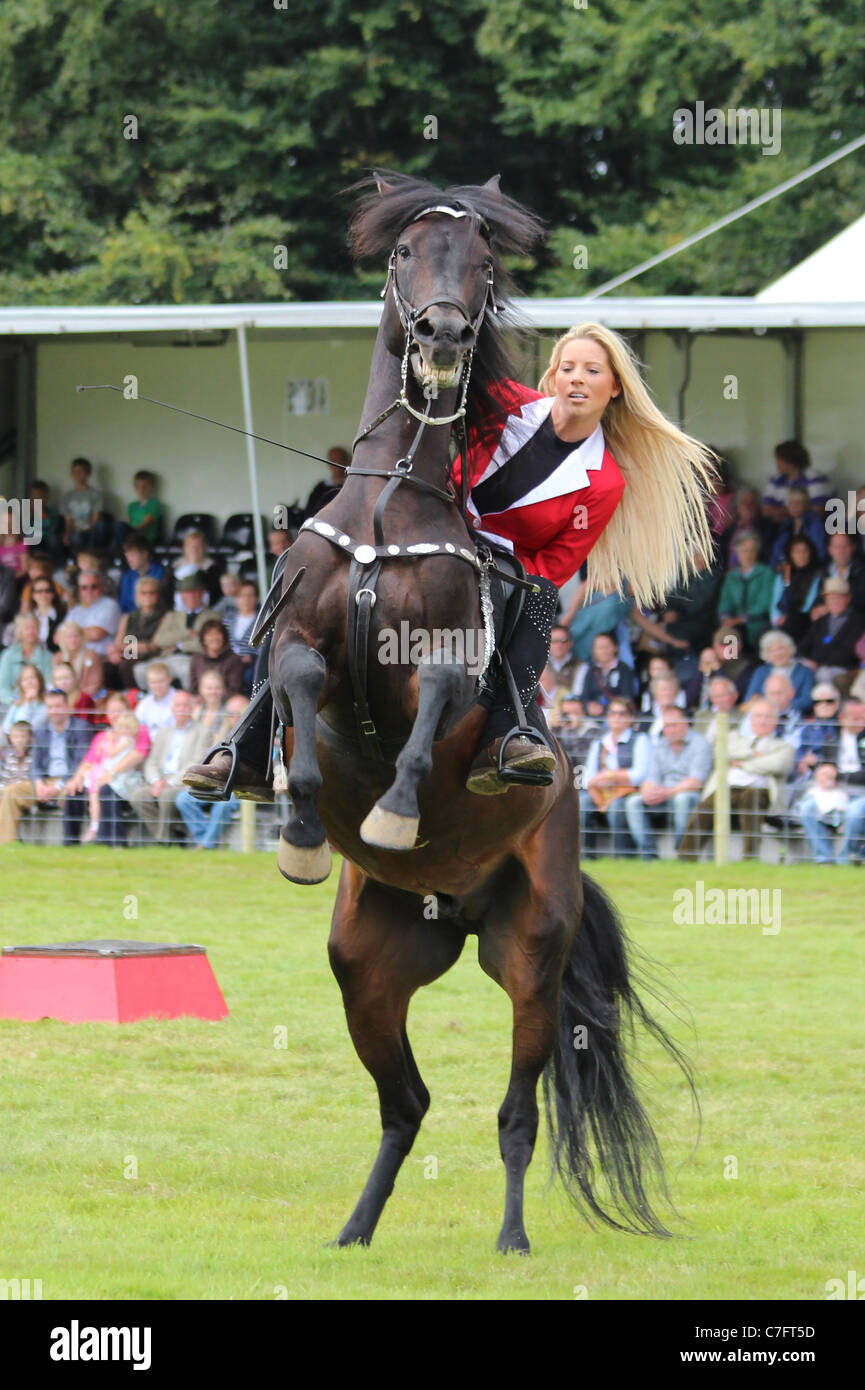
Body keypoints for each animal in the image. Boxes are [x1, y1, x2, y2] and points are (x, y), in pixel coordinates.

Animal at [268, 171, 693, 1252]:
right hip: (365, 965)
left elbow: (432, 717)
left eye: (483, 263)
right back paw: (355, 1231)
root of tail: (454, 909)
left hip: (531, 958)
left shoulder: (448, 672)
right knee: (404, 1104)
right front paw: (298, 825)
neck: (392, 508)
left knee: (516, 1112)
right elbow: (295, 685)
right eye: (404, 252)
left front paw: (393, 811)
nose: (445, 334)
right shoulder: (305, 648)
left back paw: (509, 1239)